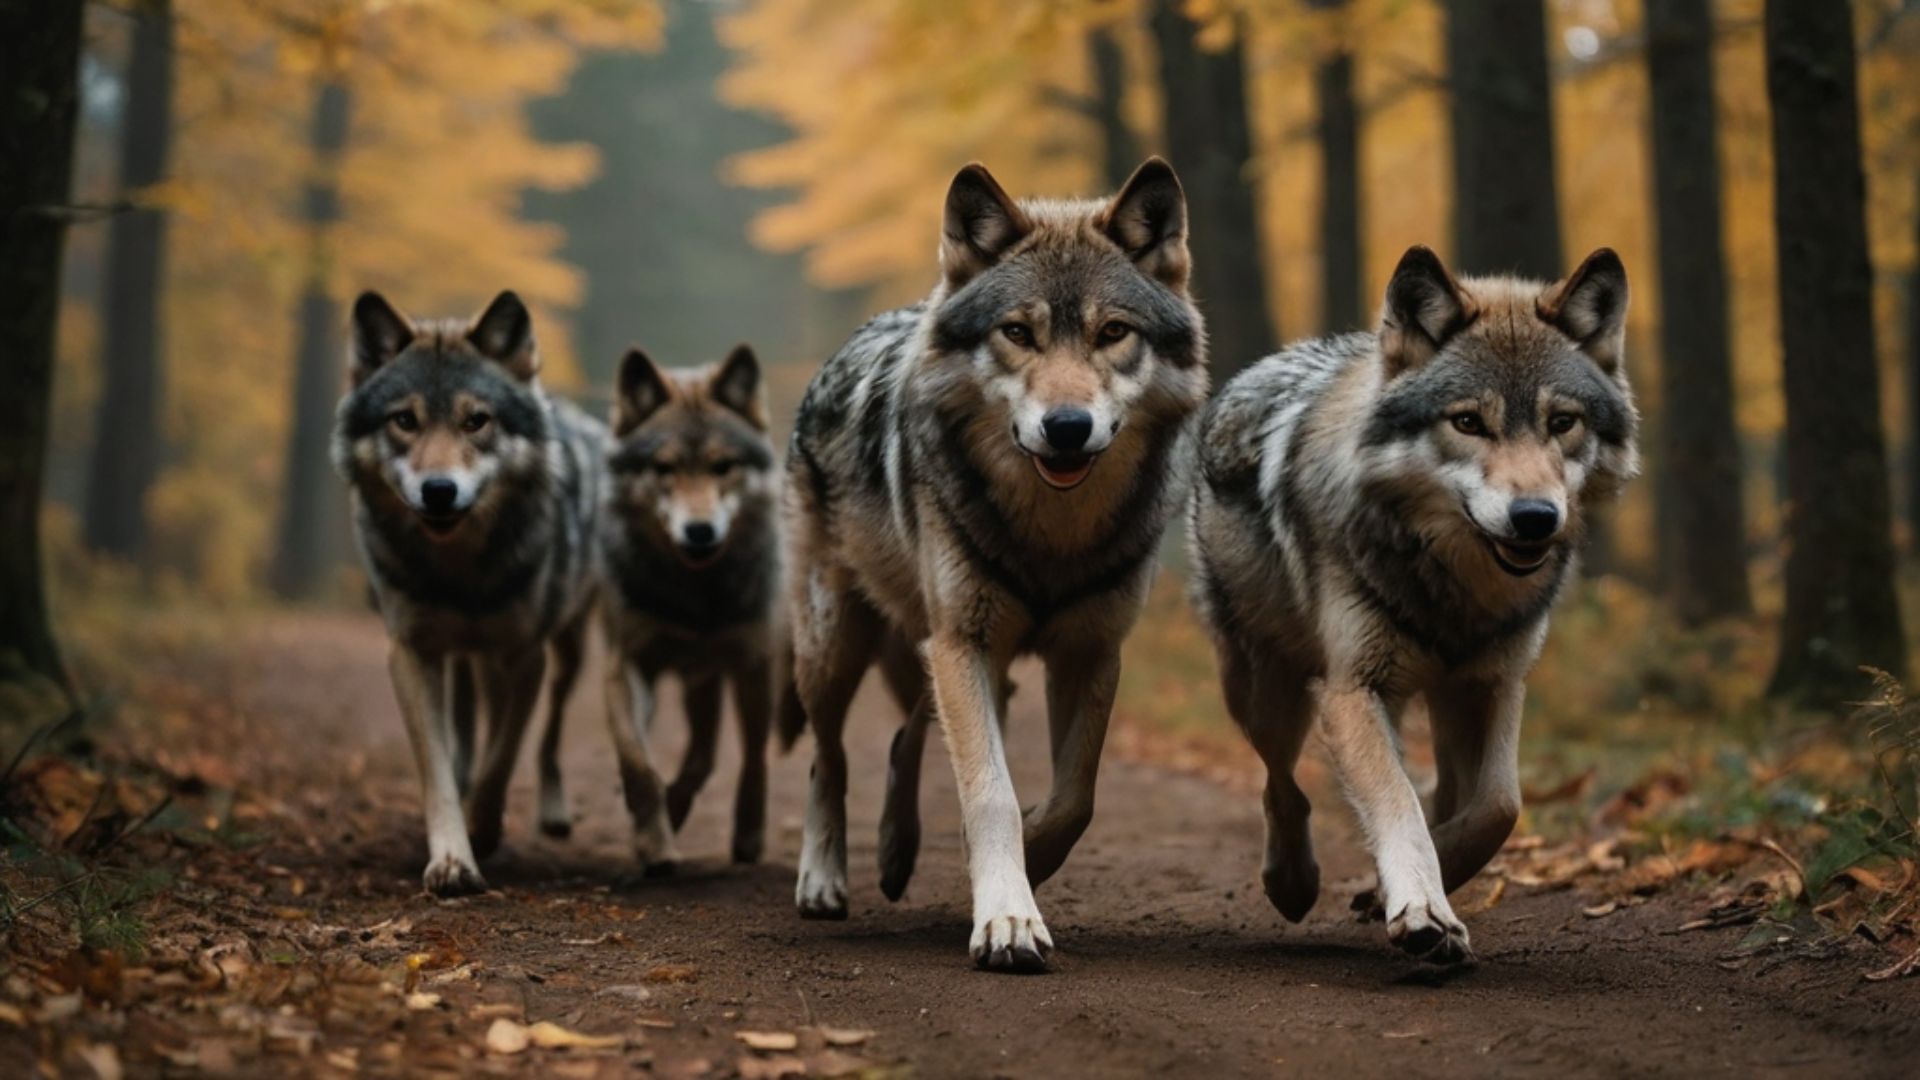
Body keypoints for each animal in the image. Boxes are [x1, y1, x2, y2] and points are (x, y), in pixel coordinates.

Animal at [333, 290, 605, 895]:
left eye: (476, 420)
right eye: (404, 420)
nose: (438, 491)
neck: (460, 574)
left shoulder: (525, 655)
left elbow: (503, 754)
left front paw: (484, 825)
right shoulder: (411, 653)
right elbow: (436, 766)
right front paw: (454, 857)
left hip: (568, 648)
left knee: (547, 731)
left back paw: (551, 810)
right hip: (462, 656)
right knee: (464, 722)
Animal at [581, 343, 782, 871]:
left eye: (723, 466)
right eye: (664, 468)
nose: (700, 532)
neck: (693, 596)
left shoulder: (747, 663)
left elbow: (738, 760)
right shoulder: (625, 666)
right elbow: (639, 764)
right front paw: (654, 842)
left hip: (738, 680)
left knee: (744, 755)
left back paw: (745, 835)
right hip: (696, 683)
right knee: (696, 754)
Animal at [783, 158, 1209, 970]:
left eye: (1113, 333)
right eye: (1018, 332)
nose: (1067, 428)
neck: (1052, 538)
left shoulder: (1090, 650)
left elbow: (1073, 797)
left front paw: (1025, 866)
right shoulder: (966, 642)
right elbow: (991, 793)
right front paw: (1008, 917)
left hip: (963, 654)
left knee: (904, 736)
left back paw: (896, 853)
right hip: (836, 645)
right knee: (827, 756)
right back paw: (823, 881)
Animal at [1189, 246, 1638, 963]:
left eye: (1562, 423)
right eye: (1468, 422)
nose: (1535, 518)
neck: (1455, 590)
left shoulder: (1497, 681)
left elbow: (1499, 806)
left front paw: (1395, 892)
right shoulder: (1353, 690)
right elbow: (1398, 802)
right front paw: (1422, 910)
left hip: (1439, 699)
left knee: (1449, 791)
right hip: (1266, 688)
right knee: (1281, 782)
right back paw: (1292, 880)